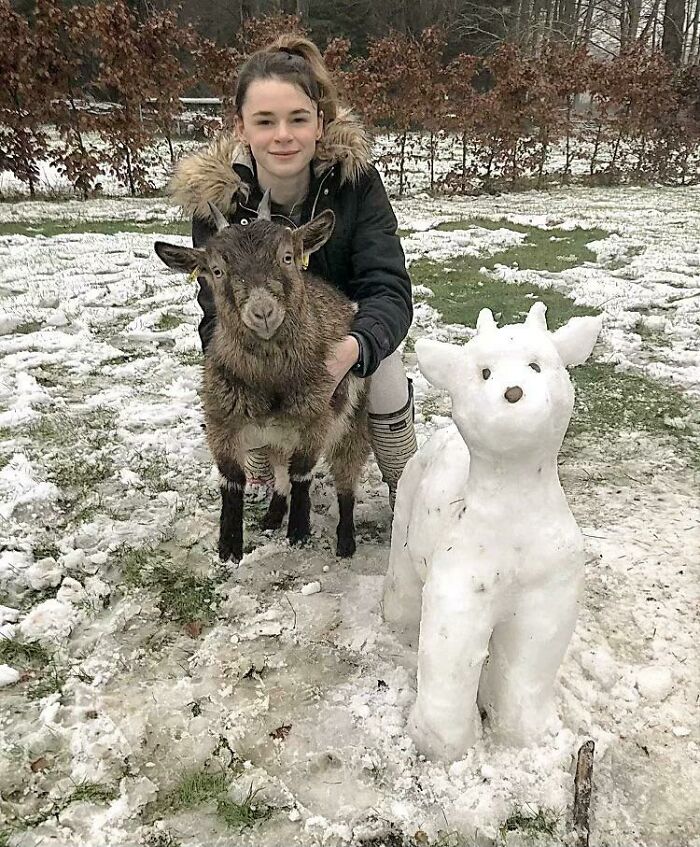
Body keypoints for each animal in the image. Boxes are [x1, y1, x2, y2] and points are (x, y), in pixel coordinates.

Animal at [154, 192, 372, 564]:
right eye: (216, 270)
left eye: (287, 256)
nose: (263, 312)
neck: (271, 383)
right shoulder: (221, 422)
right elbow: (232, 478)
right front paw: (229, 545)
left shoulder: (316, 420)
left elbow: (302, 472)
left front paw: (298, 530)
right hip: (274, 438)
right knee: (280, 472)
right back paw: (273, 514)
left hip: (351, 423)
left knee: (346, 477)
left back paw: (345, 540)